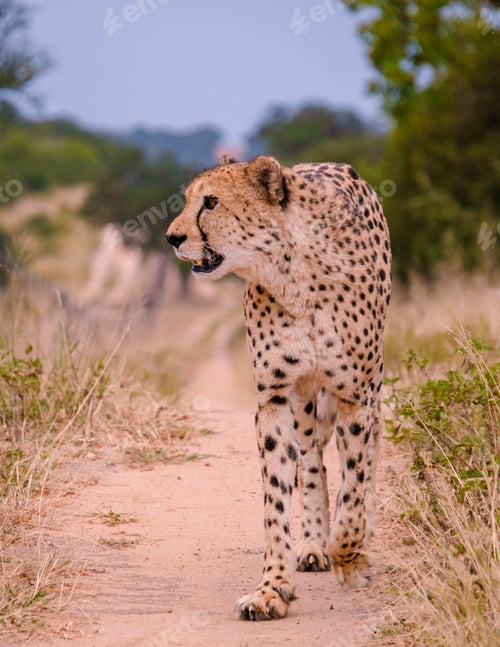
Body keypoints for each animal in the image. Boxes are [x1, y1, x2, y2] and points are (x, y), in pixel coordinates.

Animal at [166, 154, 391, 621]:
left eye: (211, 202)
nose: (172, 237)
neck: (294, 274)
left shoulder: (354, 396)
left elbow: (354, 484)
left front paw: (350, 557)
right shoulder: (276, 396)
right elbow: (276, 498)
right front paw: (272, 588)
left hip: (370, 385)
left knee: (369, 451)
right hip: (305, 401)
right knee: (312, 461)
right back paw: (312, 544)